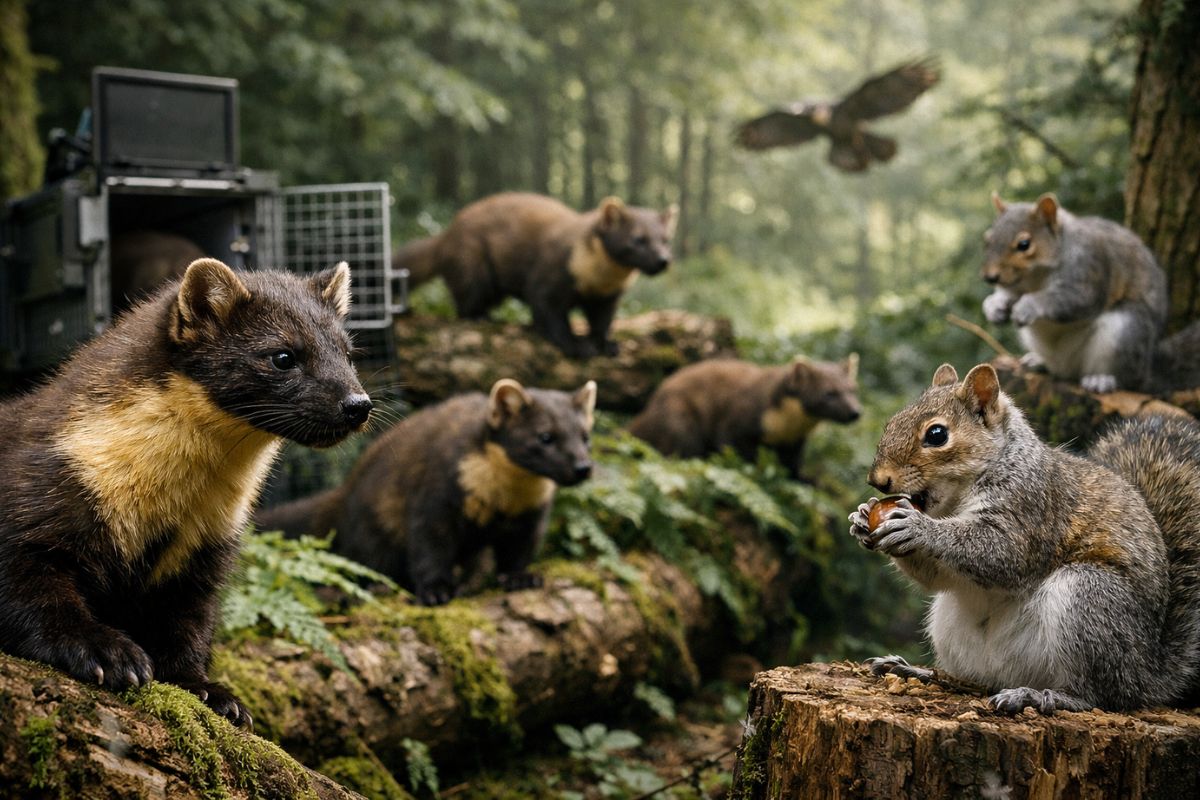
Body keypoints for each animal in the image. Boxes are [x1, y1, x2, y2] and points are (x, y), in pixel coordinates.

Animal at [848, 362, 1200, 713]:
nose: (877, 480)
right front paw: (863, 517)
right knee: (976, 678)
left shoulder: (1032, 509)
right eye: (893, 421)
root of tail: (1148, 673)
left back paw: (1044, 696)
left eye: (937, 435)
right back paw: (918, 671)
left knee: (1100, 695)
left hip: (1091, 600)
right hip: (951, 627)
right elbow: (937, 576)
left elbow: (1001, 553)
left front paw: (918, 527)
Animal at [981, 192, 1168, 393]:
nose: (990, 277)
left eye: (1024, 244)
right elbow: (1006, 294)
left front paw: (1028, 305)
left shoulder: (1087, 269)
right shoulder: (1015, 286)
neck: (1035, 277)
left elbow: (1073, 299)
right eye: (987, 240)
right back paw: (1038, 361)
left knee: (1127, 378)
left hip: (1127, 331)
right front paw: (994, 306)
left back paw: (1102, 379)